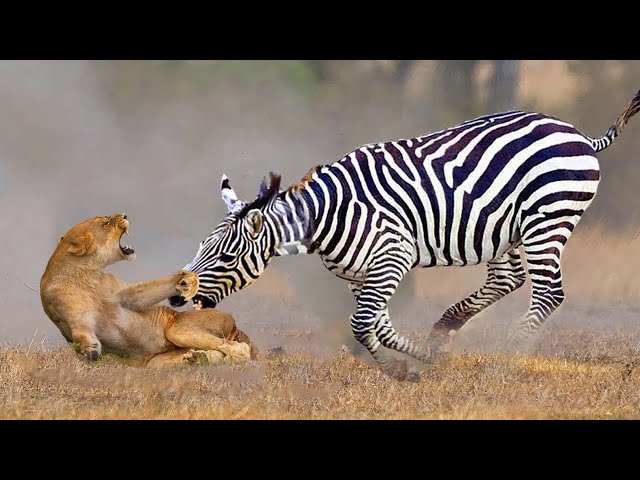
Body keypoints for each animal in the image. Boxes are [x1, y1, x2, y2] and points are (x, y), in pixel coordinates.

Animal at [40, 214, 258, 368]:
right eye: (106, 223)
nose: (125, 214)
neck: (87, 276)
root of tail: (235, 324)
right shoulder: (68, 314)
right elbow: (80, 330)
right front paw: (90, 349)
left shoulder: (126, 296)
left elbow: (147, 289)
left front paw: (186, 280)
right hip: (158, 360)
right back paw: (197, 358)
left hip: (178, 329)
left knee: (234, 347)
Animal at [168, 91, 636, 382]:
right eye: (201, 248)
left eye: (226, 259)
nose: (175, 297)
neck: (327, 215)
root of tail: (578, 134)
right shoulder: (363, 274)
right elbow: (378, 326)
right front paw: (426, 360)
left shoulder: (393, 258)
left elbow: (362, 326)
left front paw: (399, 371)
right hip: (505, 229)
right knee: (508, 279)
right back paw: (445, 328)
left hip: (547, 218)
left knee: (548, 292)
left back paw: (508, 352)